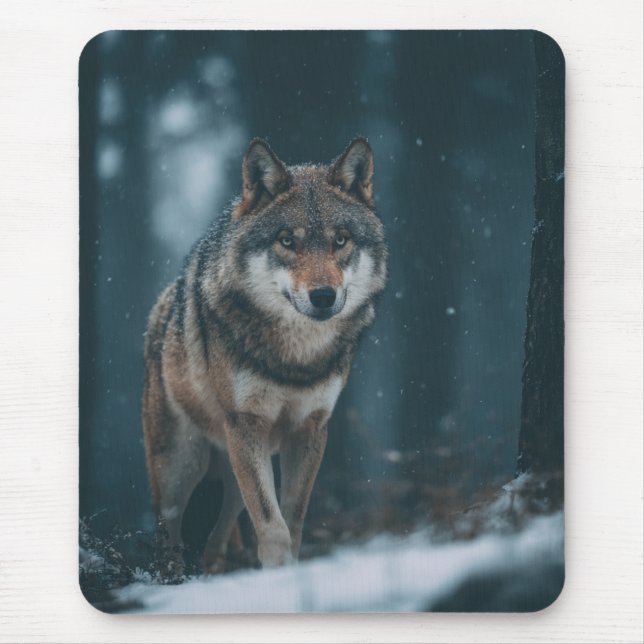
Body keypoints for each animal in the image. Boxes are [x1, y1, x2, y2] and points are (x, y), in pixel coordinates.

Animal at [142, 137, 387, 575]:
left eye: (340, 239)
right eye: (287, 241)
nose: (323, 296)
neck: (296, 358)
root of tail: (159, 310)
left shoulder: (310, 428)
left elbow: (292, 520)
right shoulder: (247, 424)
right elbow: (272, 526)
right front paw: (279, 575)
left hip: (231, 468)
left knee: (218, 535)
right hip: (182, 467)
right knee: (168, 535)